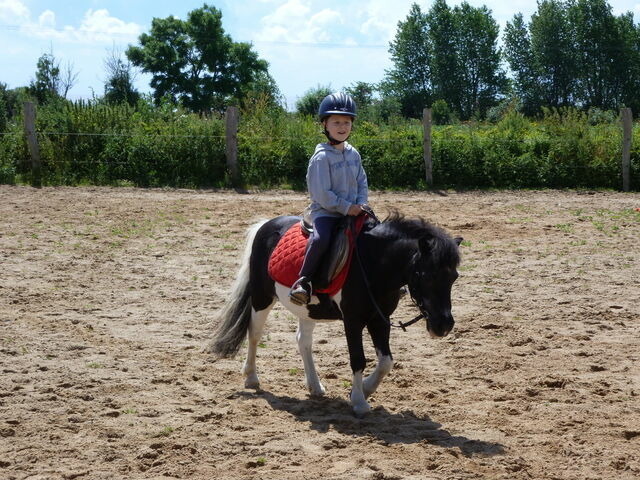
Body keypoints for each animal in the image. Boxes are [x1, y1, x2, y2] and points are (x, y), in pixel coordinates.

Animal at [208, 212, 462, 418]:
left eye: (454, 277)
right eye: (426, 275)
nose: (443, 325)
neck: (373, 264)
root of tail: (266, 225)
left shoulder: (380, 320)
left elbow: (386, 362)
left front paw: (365, 389)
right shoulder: (352, 321)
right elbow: (358, 359)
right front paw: (359, 402)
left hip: (307, 310)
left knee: (303, 341)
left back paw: (315, 386)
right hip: (262, 297)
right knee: (255, 333)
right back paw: (251, 377)